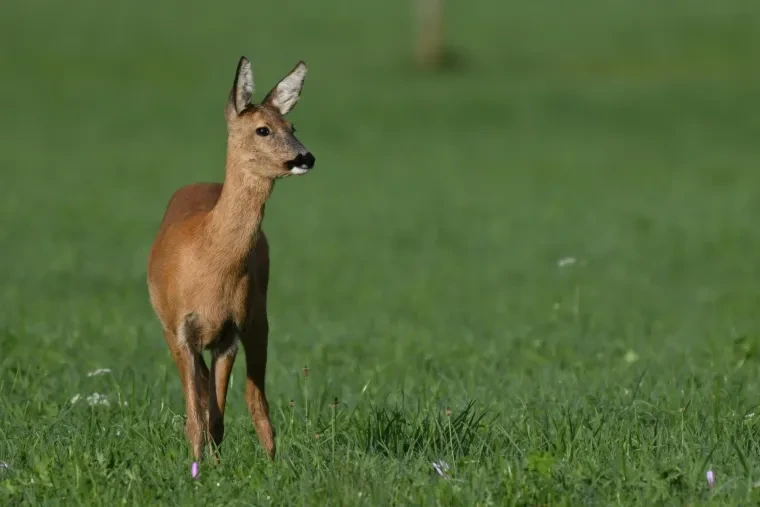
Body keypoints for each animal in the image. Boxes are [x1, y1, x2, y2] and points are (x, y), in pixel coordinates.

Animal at [146, 56, 315, 465]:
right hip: (170, 327)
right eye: (262, 130)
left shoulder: (231, 331)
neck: (208, 260)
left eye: (292, 126)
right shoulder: (181, 330)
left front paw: (219, 467)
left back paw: (271, 460)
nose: (305, 157)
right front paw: (198, 468)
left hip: (259, 316)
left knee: (255, 399)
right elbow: (197, 414)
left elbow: (219, 414)